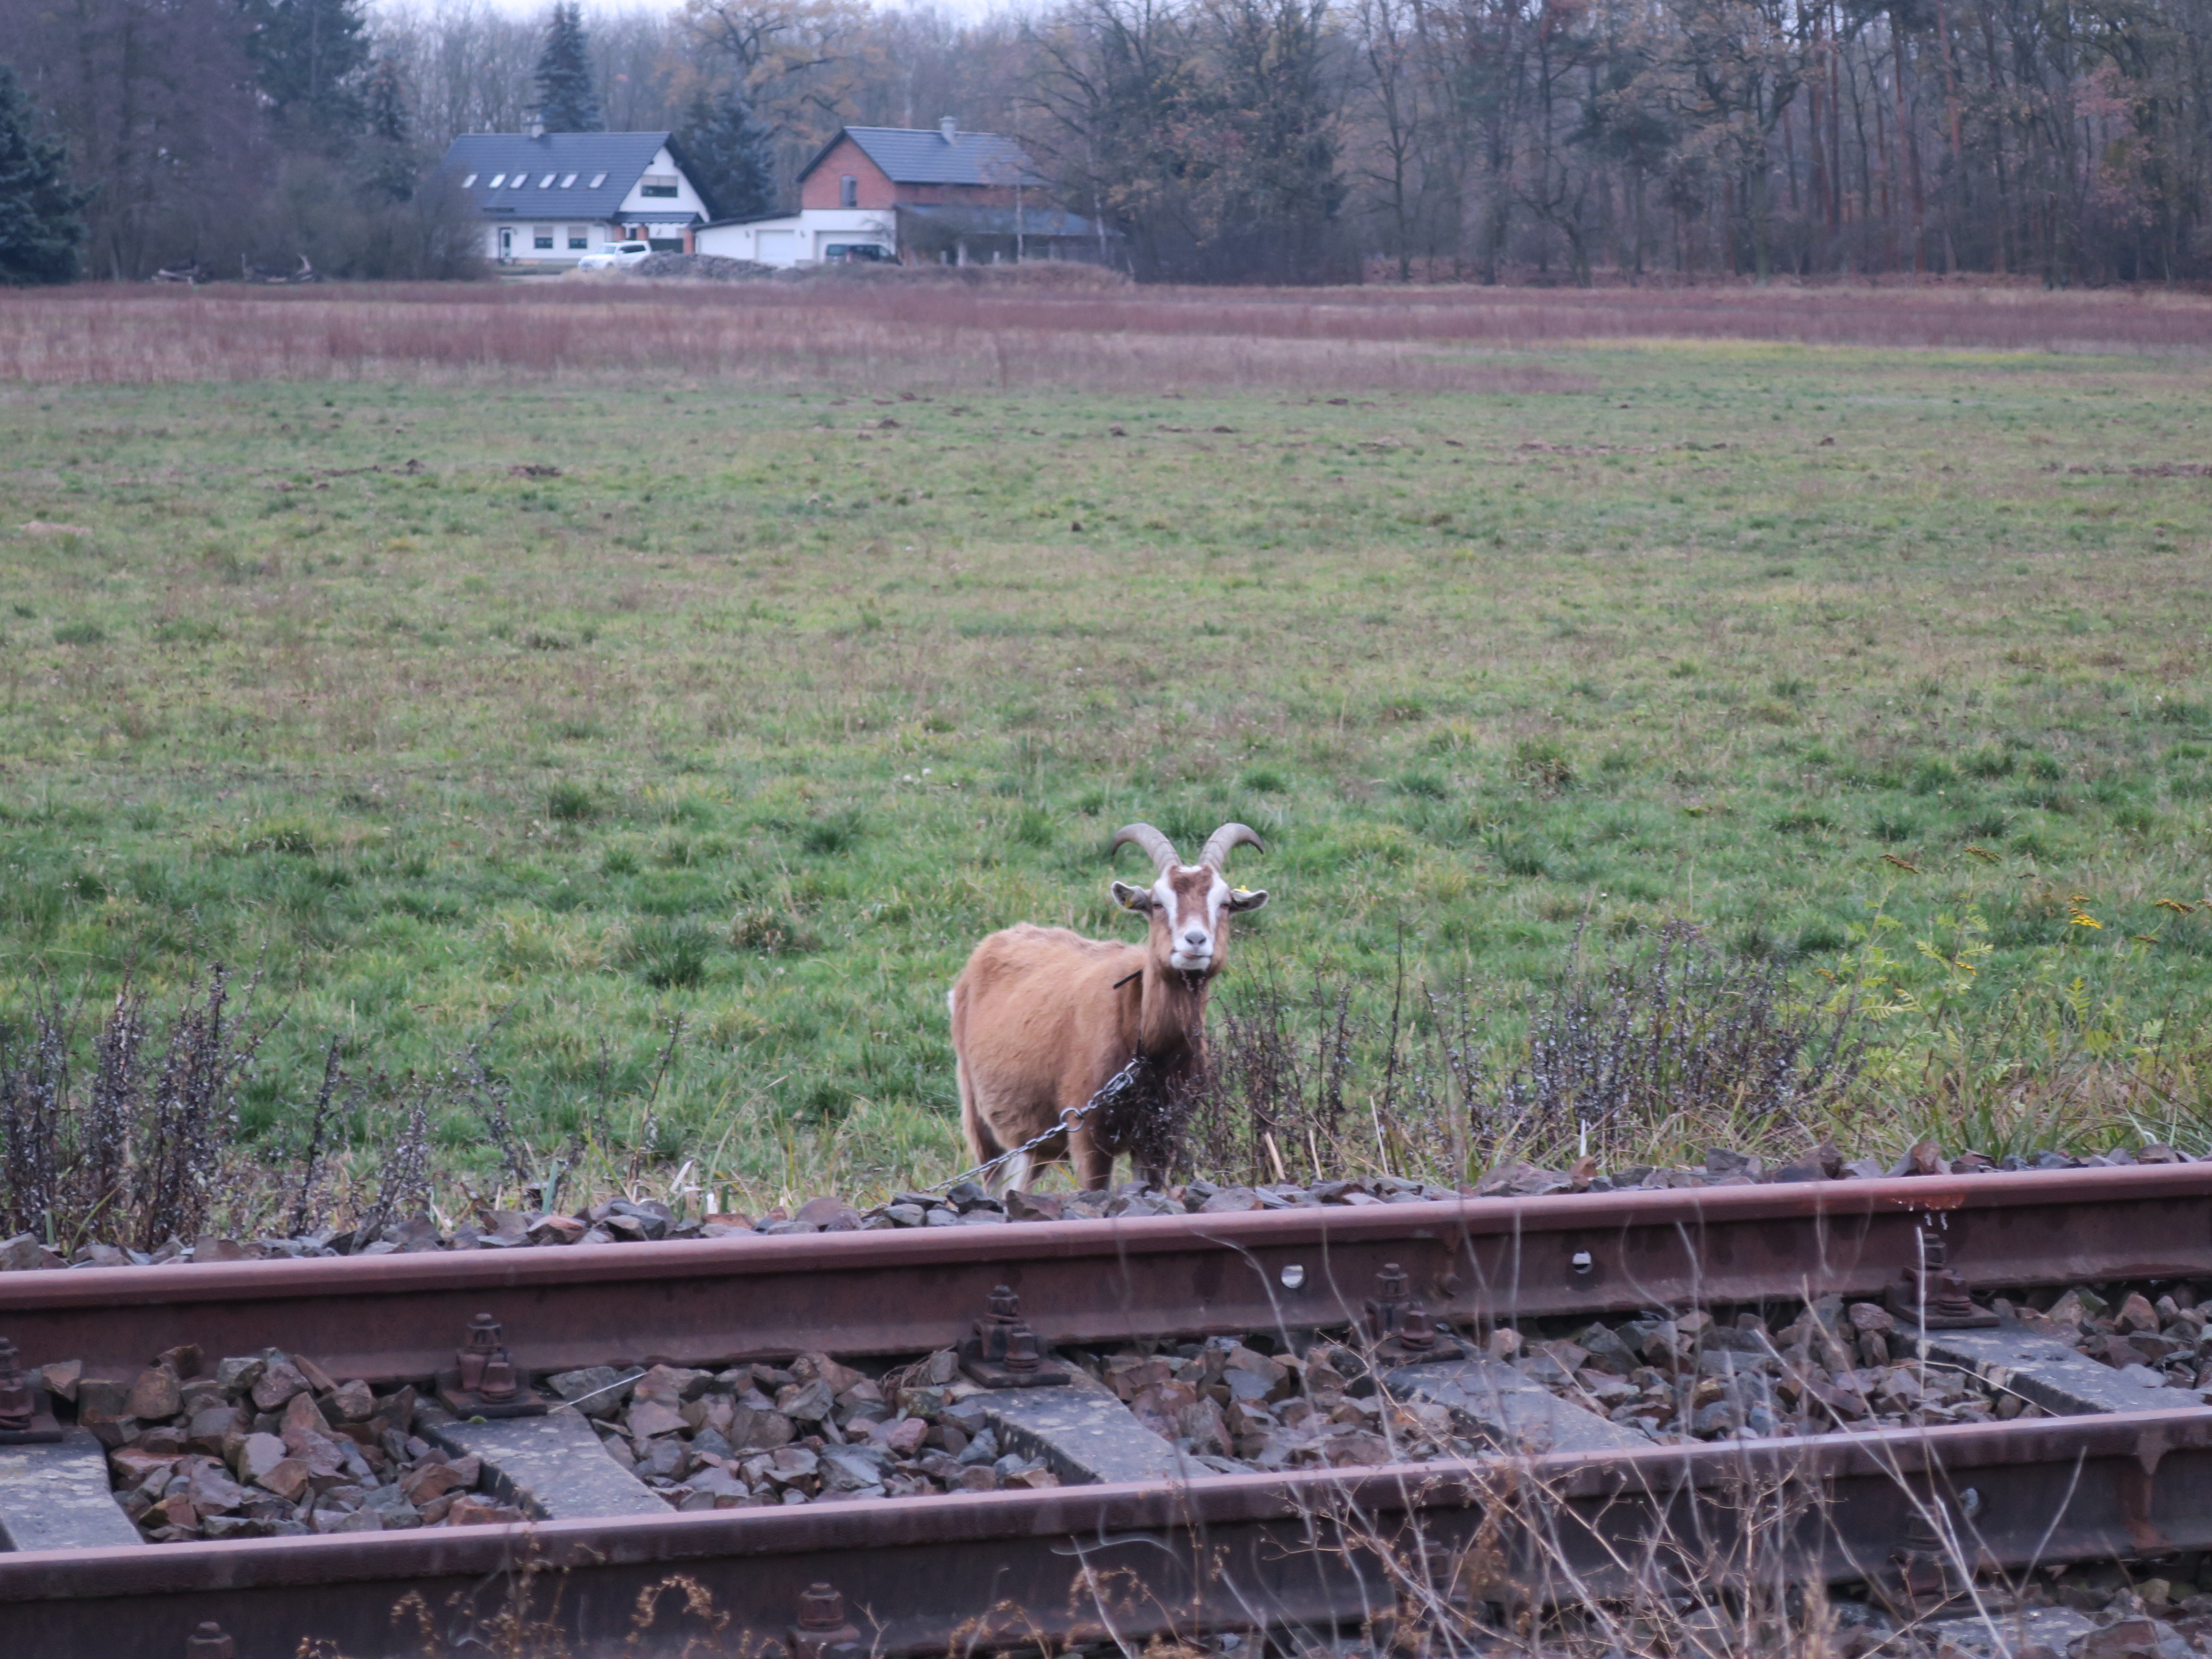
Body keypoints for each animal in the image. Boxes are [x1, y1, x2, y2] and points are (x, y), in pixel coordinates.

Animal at [948, 821, 1269, 1195]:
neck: (1148, 1049)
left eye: (1226, 903)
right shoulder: (1087, 1131)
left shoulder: (1161, 1136)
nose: (1195, 941)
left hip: (1037, 1141)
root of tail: (990, 945)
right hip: (979, 1115)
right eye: (1157, 903)